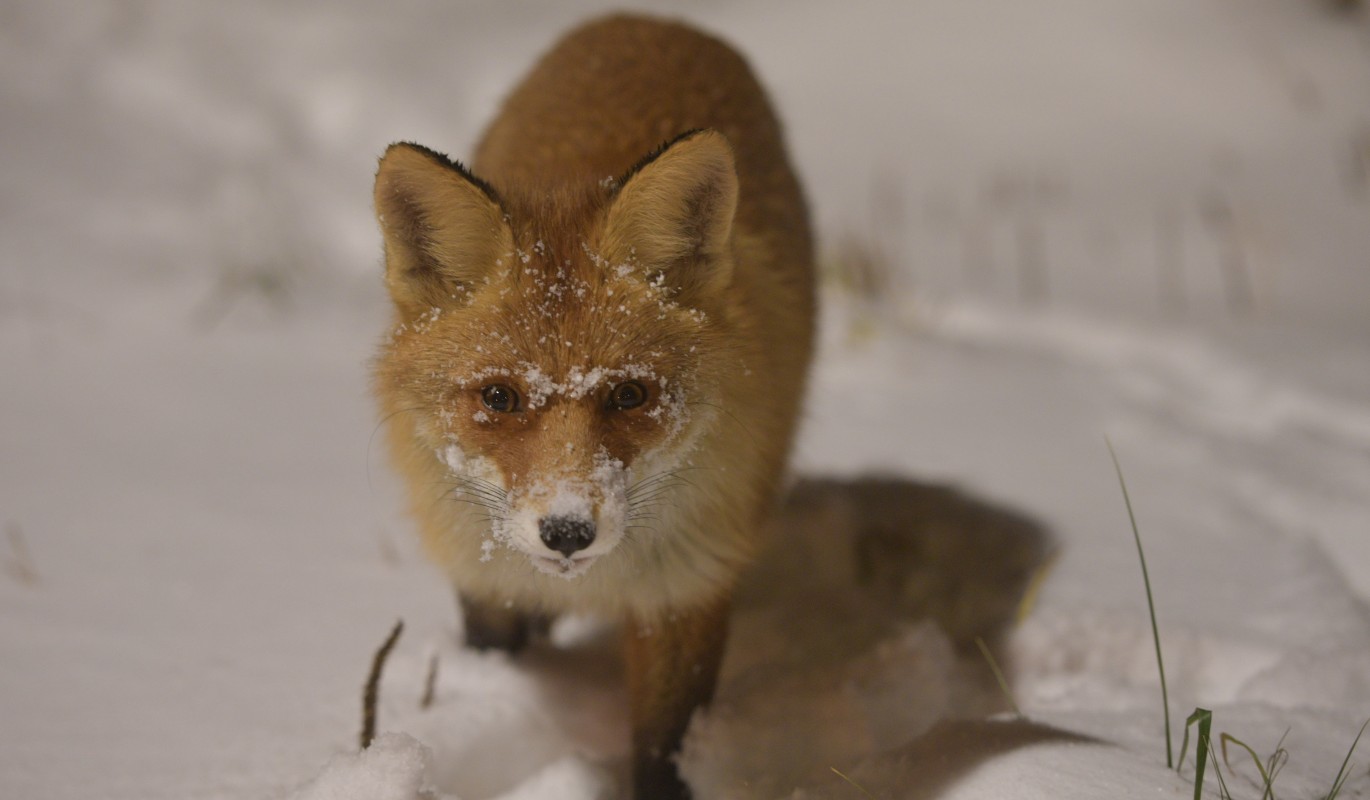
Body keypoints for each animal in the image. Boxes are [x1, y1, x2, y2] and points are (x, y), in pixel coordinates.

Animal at [369, 14, 811, 800]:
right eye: (500, 397)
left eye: (629, 394)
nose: (568, 532)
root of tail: (650, 21)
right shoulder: (485, 581)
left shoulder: (686, 588)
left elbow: (663, 755)